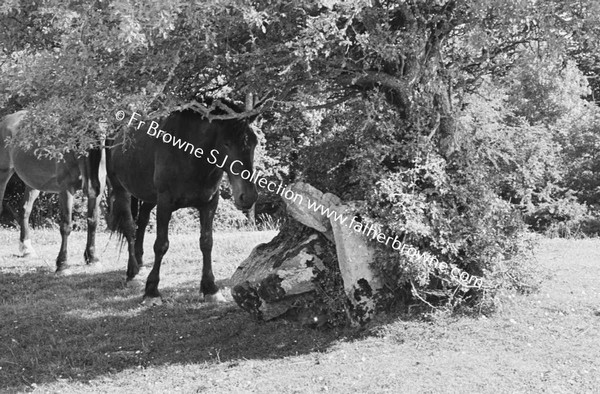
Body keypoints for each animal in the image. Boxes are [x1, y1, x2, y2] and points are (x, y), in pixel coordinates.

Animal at [0, 109, 106, 272]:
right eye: (79, 140)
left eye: (101, 139)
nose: (92, 186)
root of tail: (7, 119)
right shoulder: (66, 190)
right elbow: (66, 226)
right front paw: (62, 264)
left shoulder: (98, 193)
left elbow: (93, 221)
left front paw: (93, 258)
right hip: (3, 173)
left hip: (33, 183)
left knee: (25, 210)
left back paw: (27, 249)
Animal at [106, 106, 256, 304]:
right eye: (226, 143)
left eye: (254, 143)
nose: (248, 196)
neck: (189, 155)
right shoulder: (165, 204)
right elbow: (161, 245)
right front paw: (152, 291)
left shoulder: (209, 204)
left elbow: (206, 242)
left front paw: (210, 288)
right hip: (121, 190)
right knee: (130, 227)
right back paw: (132, 272)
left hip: (148, 197)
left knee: (142, 221)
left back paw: (139, 263)